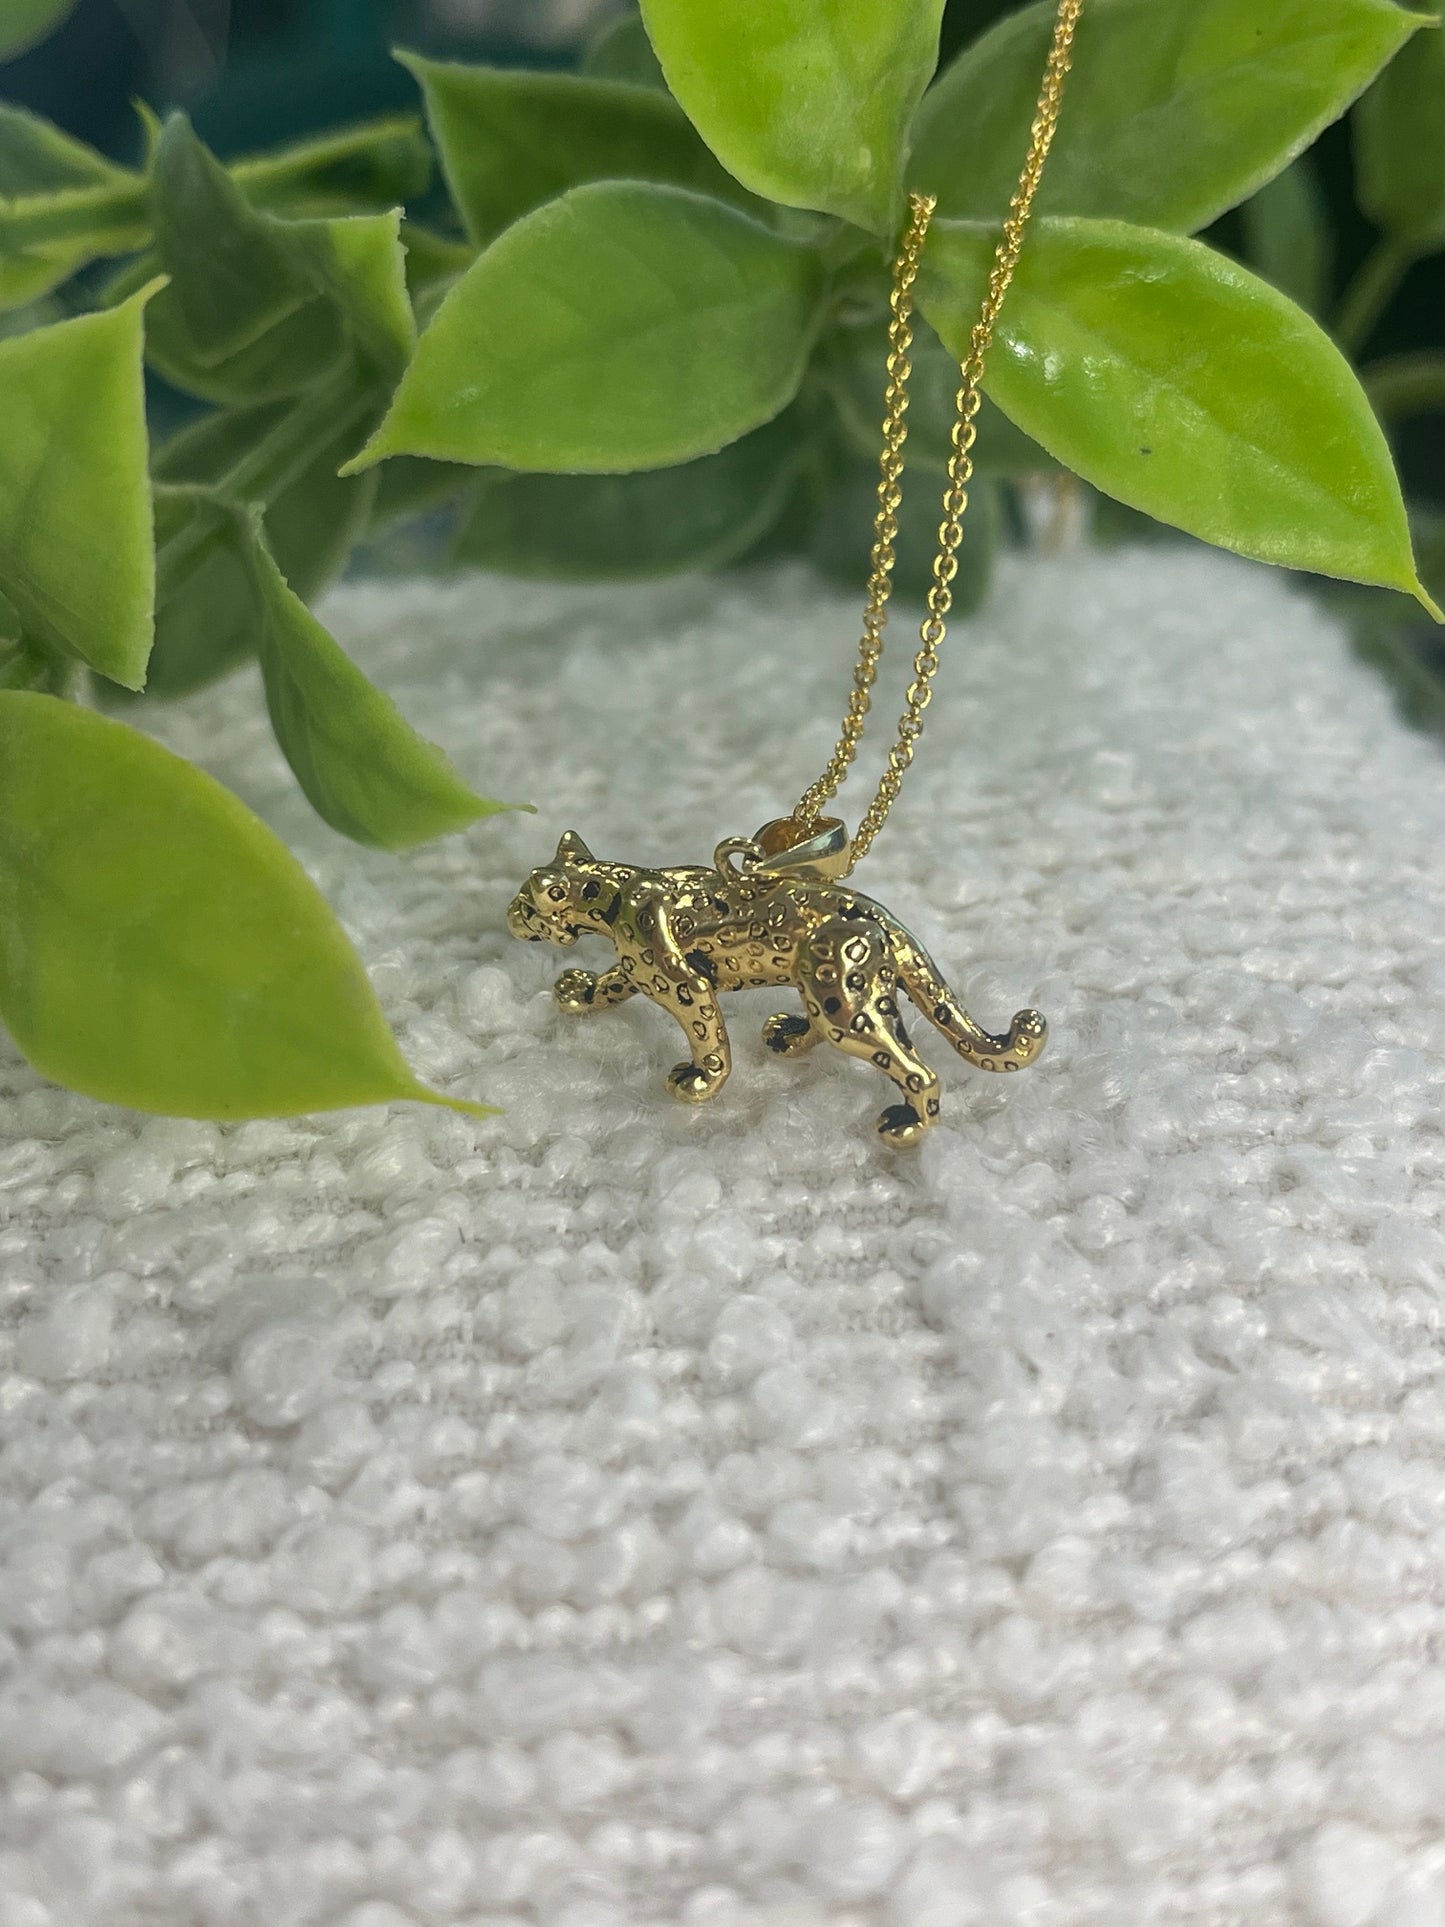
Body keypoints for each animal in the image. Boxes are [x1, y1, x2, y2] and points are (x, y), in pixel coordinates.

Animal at [507, 827, 1047, 1147]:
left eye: (528, 899)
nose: (511, 914)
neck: (616, 893)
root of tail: (880, 913)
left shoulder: (684, 983)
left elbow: (708, 1039)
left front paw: (699, 1082)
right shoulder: (639, 969)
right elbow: (611, 984)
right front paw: (578, 992)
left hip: (846, 1001)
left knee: (918, 1069)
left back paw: (907, 1125)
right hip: (827, 987)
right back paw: (788, 1035)